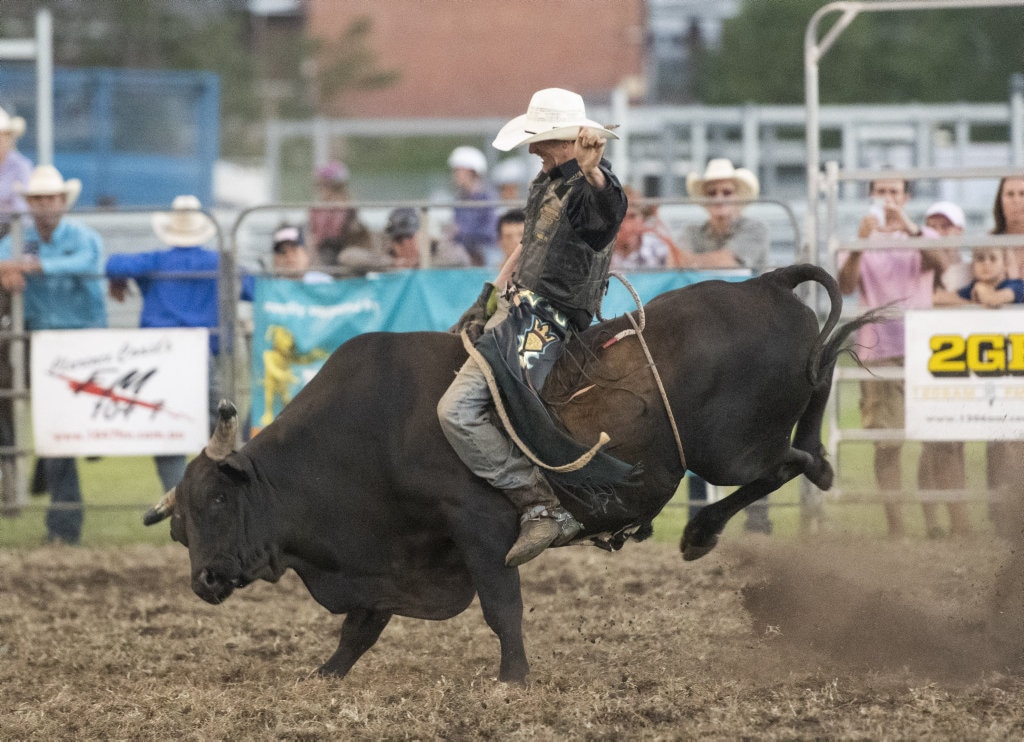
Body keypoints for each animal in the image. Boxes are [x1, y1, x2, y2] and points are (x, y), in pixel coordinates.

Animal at [148, 264, 876, 679]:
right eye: (180, 526)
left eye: (218, 502)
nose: (204, 580)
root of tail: (762, 283)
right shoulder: (396, 550)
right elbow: (362, 625)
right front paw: (324, 673)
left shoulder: (479, 525)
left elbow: (502, 608)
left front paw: (514, 677)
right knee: (815, 422)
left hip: (729, 450)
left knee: (789, 461)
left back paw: (702, 533)